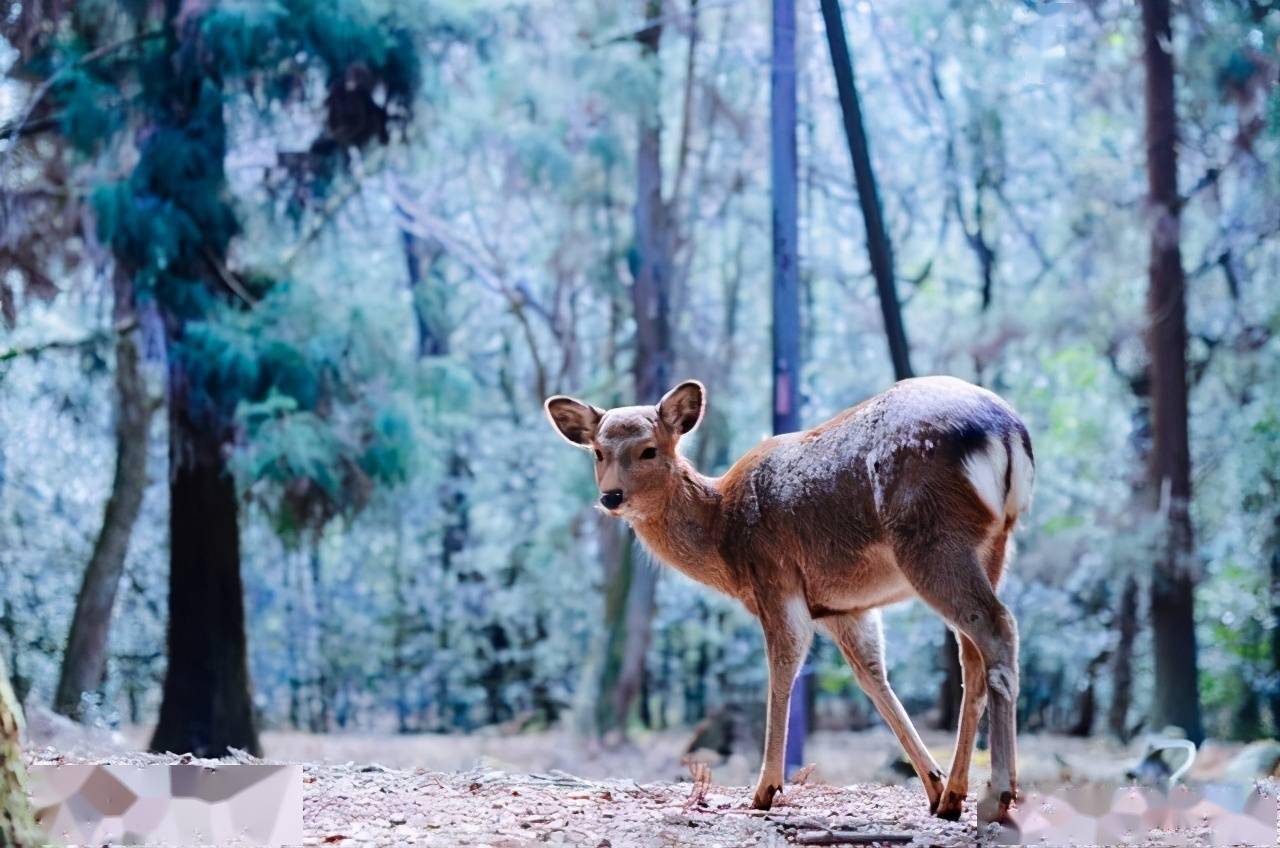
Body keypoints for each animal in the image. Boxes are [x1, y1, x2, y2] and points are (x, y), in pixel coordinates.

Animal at [540, 376, 1029, 824]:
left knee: (998, 628)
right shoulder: (841, 606)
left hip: (931, 539)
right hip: (993, 546)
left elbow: (781, 670)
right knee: (973, 656)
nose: (611, 496)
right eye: (597, 452)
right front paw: (932, 785)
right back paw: (955, 796)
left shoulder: (774, 578)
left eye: (649, 450)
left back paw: (999, 793)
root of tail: (1006, 431)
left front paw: (764, 790)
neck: (724, 534)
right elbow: (873, 678)